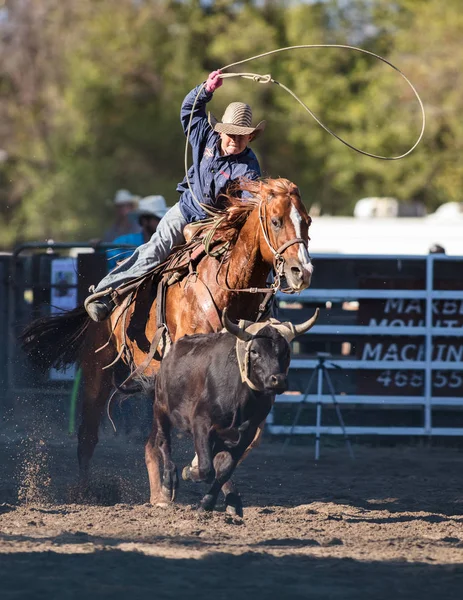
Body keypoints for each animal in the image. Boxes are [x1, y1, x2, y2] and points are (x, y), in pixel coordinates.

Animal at [20, 176, 314, 490]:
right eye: (276, 221)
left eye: (307, 221)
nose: (302, 271)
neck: (228, 289)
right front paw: (195, 468)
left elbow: (251, 434)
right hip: (96, 370)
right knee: (88, 436)